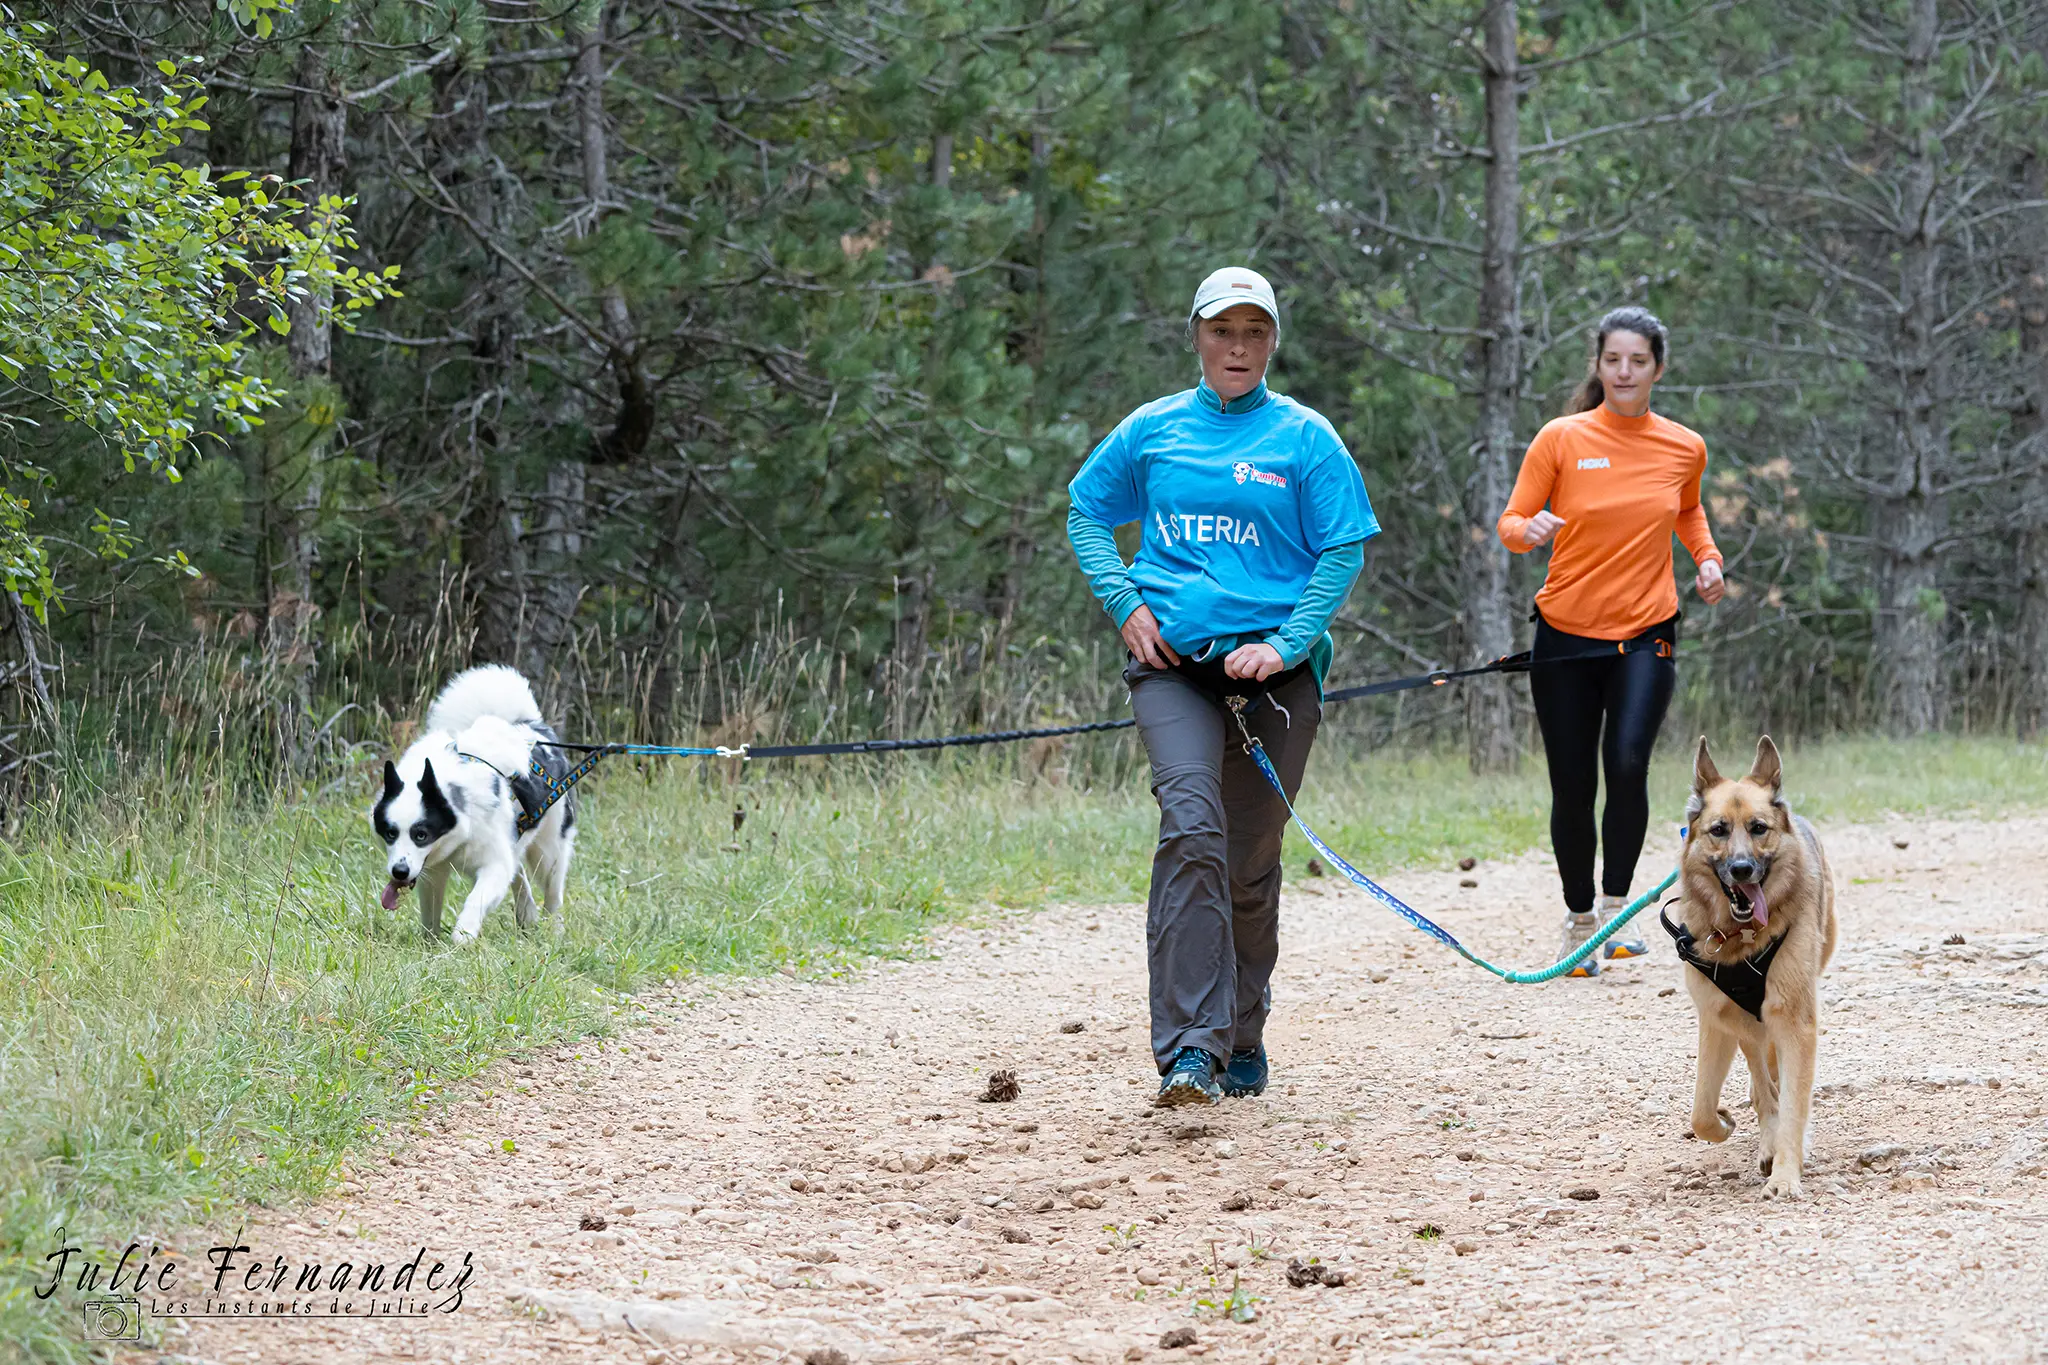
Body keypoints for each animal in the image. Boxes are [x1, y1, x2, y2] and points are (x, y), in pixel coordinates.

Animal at [366, 667, 573, 945]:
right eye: (390, 833)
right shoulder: (432, 871)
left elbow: (477, 898)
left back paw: (555, 931)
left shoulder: (492, 862)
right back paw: (527, 912)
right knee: (517, 870)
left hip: (549, 851)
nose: (399, 872)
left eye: (421, 835)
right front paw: (430, 943)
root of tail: (531, 726)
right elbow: (430, 911)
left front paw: (462, 934)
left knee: (552, 892)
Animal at [1679, 736, 1843, 1195]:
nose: (1741, 869)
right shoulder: (1717, 1019)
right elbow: (1702, 1111)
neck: (1744, 938)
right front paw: (1725, 1122)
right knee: (1760, 1069)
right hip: (1743, 1021)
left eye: (1758, 828)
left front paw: (1786, 1173)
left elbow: (1793, 1104)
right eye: (1718, 830)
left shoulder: (1795, 1020)